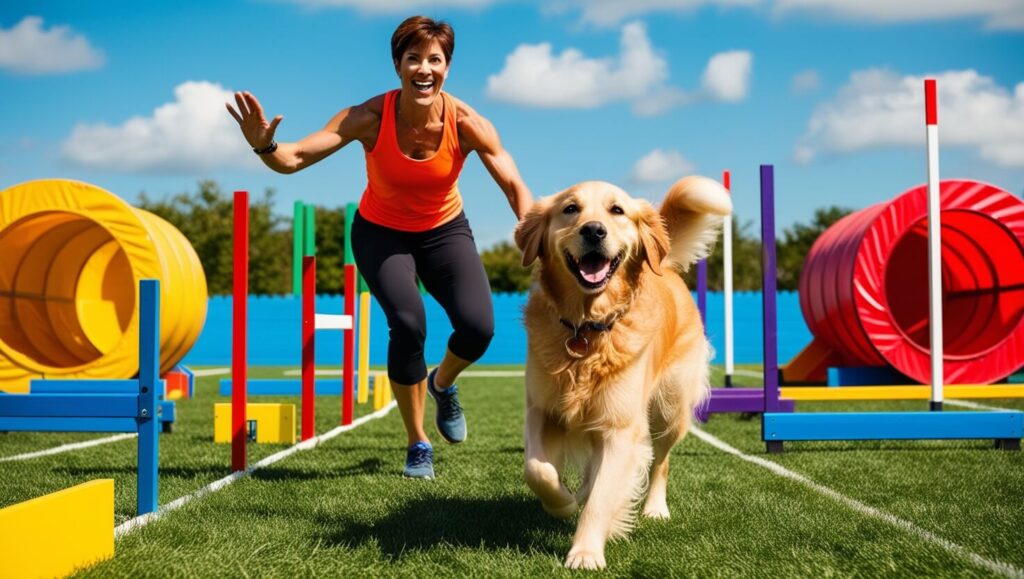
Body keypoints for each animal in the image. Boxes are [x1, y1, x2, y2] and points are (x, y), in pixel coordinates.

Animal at [516, 176, 733, 569]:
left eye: (617, 210)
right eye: (570, 208)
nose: (593, 230)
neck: (586, 328)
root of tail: (666, 268)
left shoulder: (620, 426)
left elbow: (603, 497)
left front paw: (585, 552)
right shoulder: (542, 409)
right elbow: (537, 470)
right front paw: (563, 501)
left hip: (669, 409)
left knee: (660, 462)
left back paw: (655, 508)